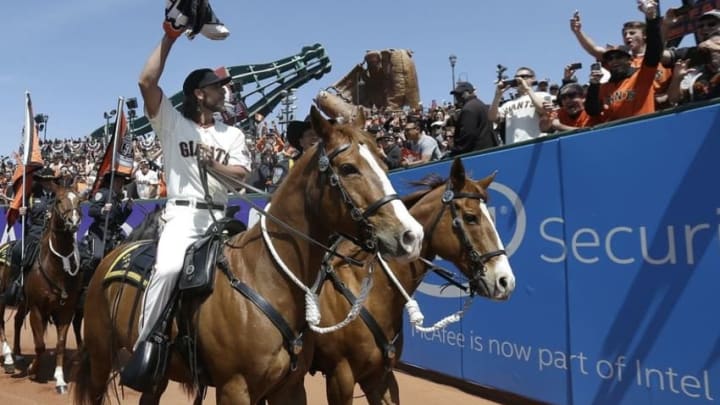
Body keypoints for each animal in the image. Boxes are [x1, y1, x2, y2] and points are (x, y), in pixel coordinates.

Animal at [0, 186, 82, 392]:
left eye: (79, 200)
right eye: (59, 201)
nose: (74, 221)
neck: (57, 266)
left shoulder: (66, 311)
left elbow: (60, 345)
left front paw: (60, 379)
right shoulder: (38, 309)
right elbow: (40, 345)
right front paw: (32, 370)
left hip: (23, 303)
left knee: (17, 321)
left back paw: (18, 353)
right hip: (3, 298)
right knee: (2, 323)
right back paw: (9, 358)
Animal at [73, 106, 422, 404]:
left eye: (385, 164)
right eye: (348, 168)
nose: (410, 235)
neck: (268, 278)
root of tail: (112, 256)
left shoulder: (290, 389)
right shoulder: (235, 388)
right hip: (101, 357)